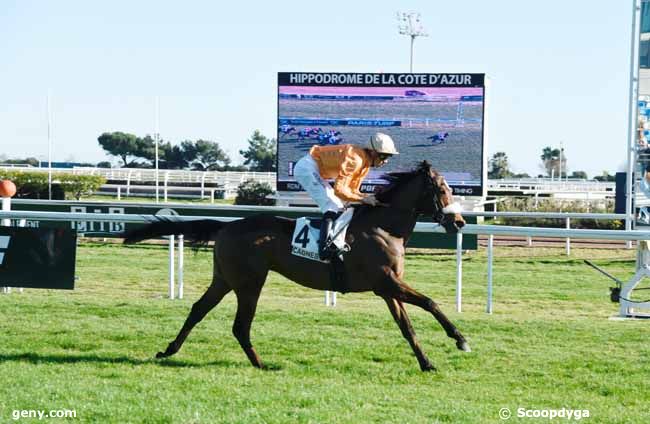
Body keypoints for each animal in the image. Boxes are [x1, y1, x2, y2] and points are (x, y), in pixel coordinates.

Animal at [125, 162, 470, 372]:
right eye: (442, 190)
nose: (459, 222)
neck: (384, 227)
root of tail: (227, 226)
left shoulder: (387, 289)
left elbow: (407, 327)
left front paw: (427, 363)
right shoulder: (385, 283)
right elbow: (431, 302)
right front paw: (460, 339)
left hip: (225, 278)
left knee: (198, 309)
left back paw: (169, 350)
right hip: (249, 282)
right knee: (240, 325)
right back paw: (261, 363)